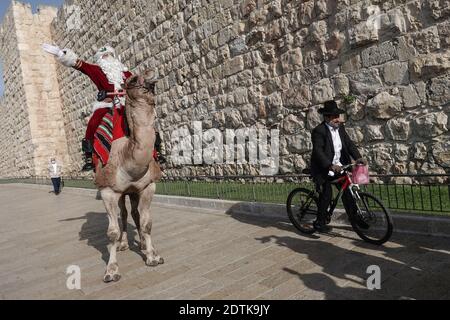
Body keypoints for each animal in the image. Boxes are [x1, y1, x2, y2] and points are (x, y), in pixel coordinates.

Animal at [94, 69, 163, 282]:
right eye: (132, 79)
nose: (152, 74)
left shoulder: (148, 186)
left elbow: (147, 223)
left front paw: (152, 256)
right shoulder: (107, 191)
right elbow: (112, 232)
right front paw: (111, 271)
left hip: (132, 191)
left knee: (134, 213)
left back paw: (143, 244)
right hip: (121, 192)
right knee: (124, 213)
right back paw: (124, 244)